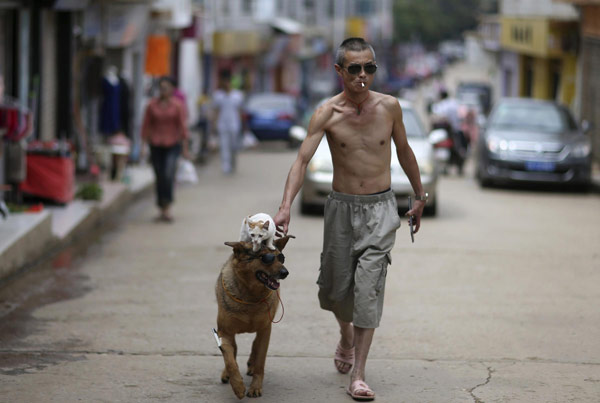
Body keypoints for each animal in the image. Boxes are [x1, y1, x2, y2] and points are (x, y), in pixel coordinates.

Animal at [214, 238, 292, 400]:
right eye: (265, 258)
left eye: (281, 257)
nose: (285, 272)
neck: (251, 296)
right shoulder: (224, 332)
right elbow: (230, 359)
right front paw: (238, 386)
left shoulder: (266, 329)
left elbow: (261, 361)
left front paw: (255, 387)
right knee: (234, 350)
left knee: (256, 344)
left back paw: (251, 364)